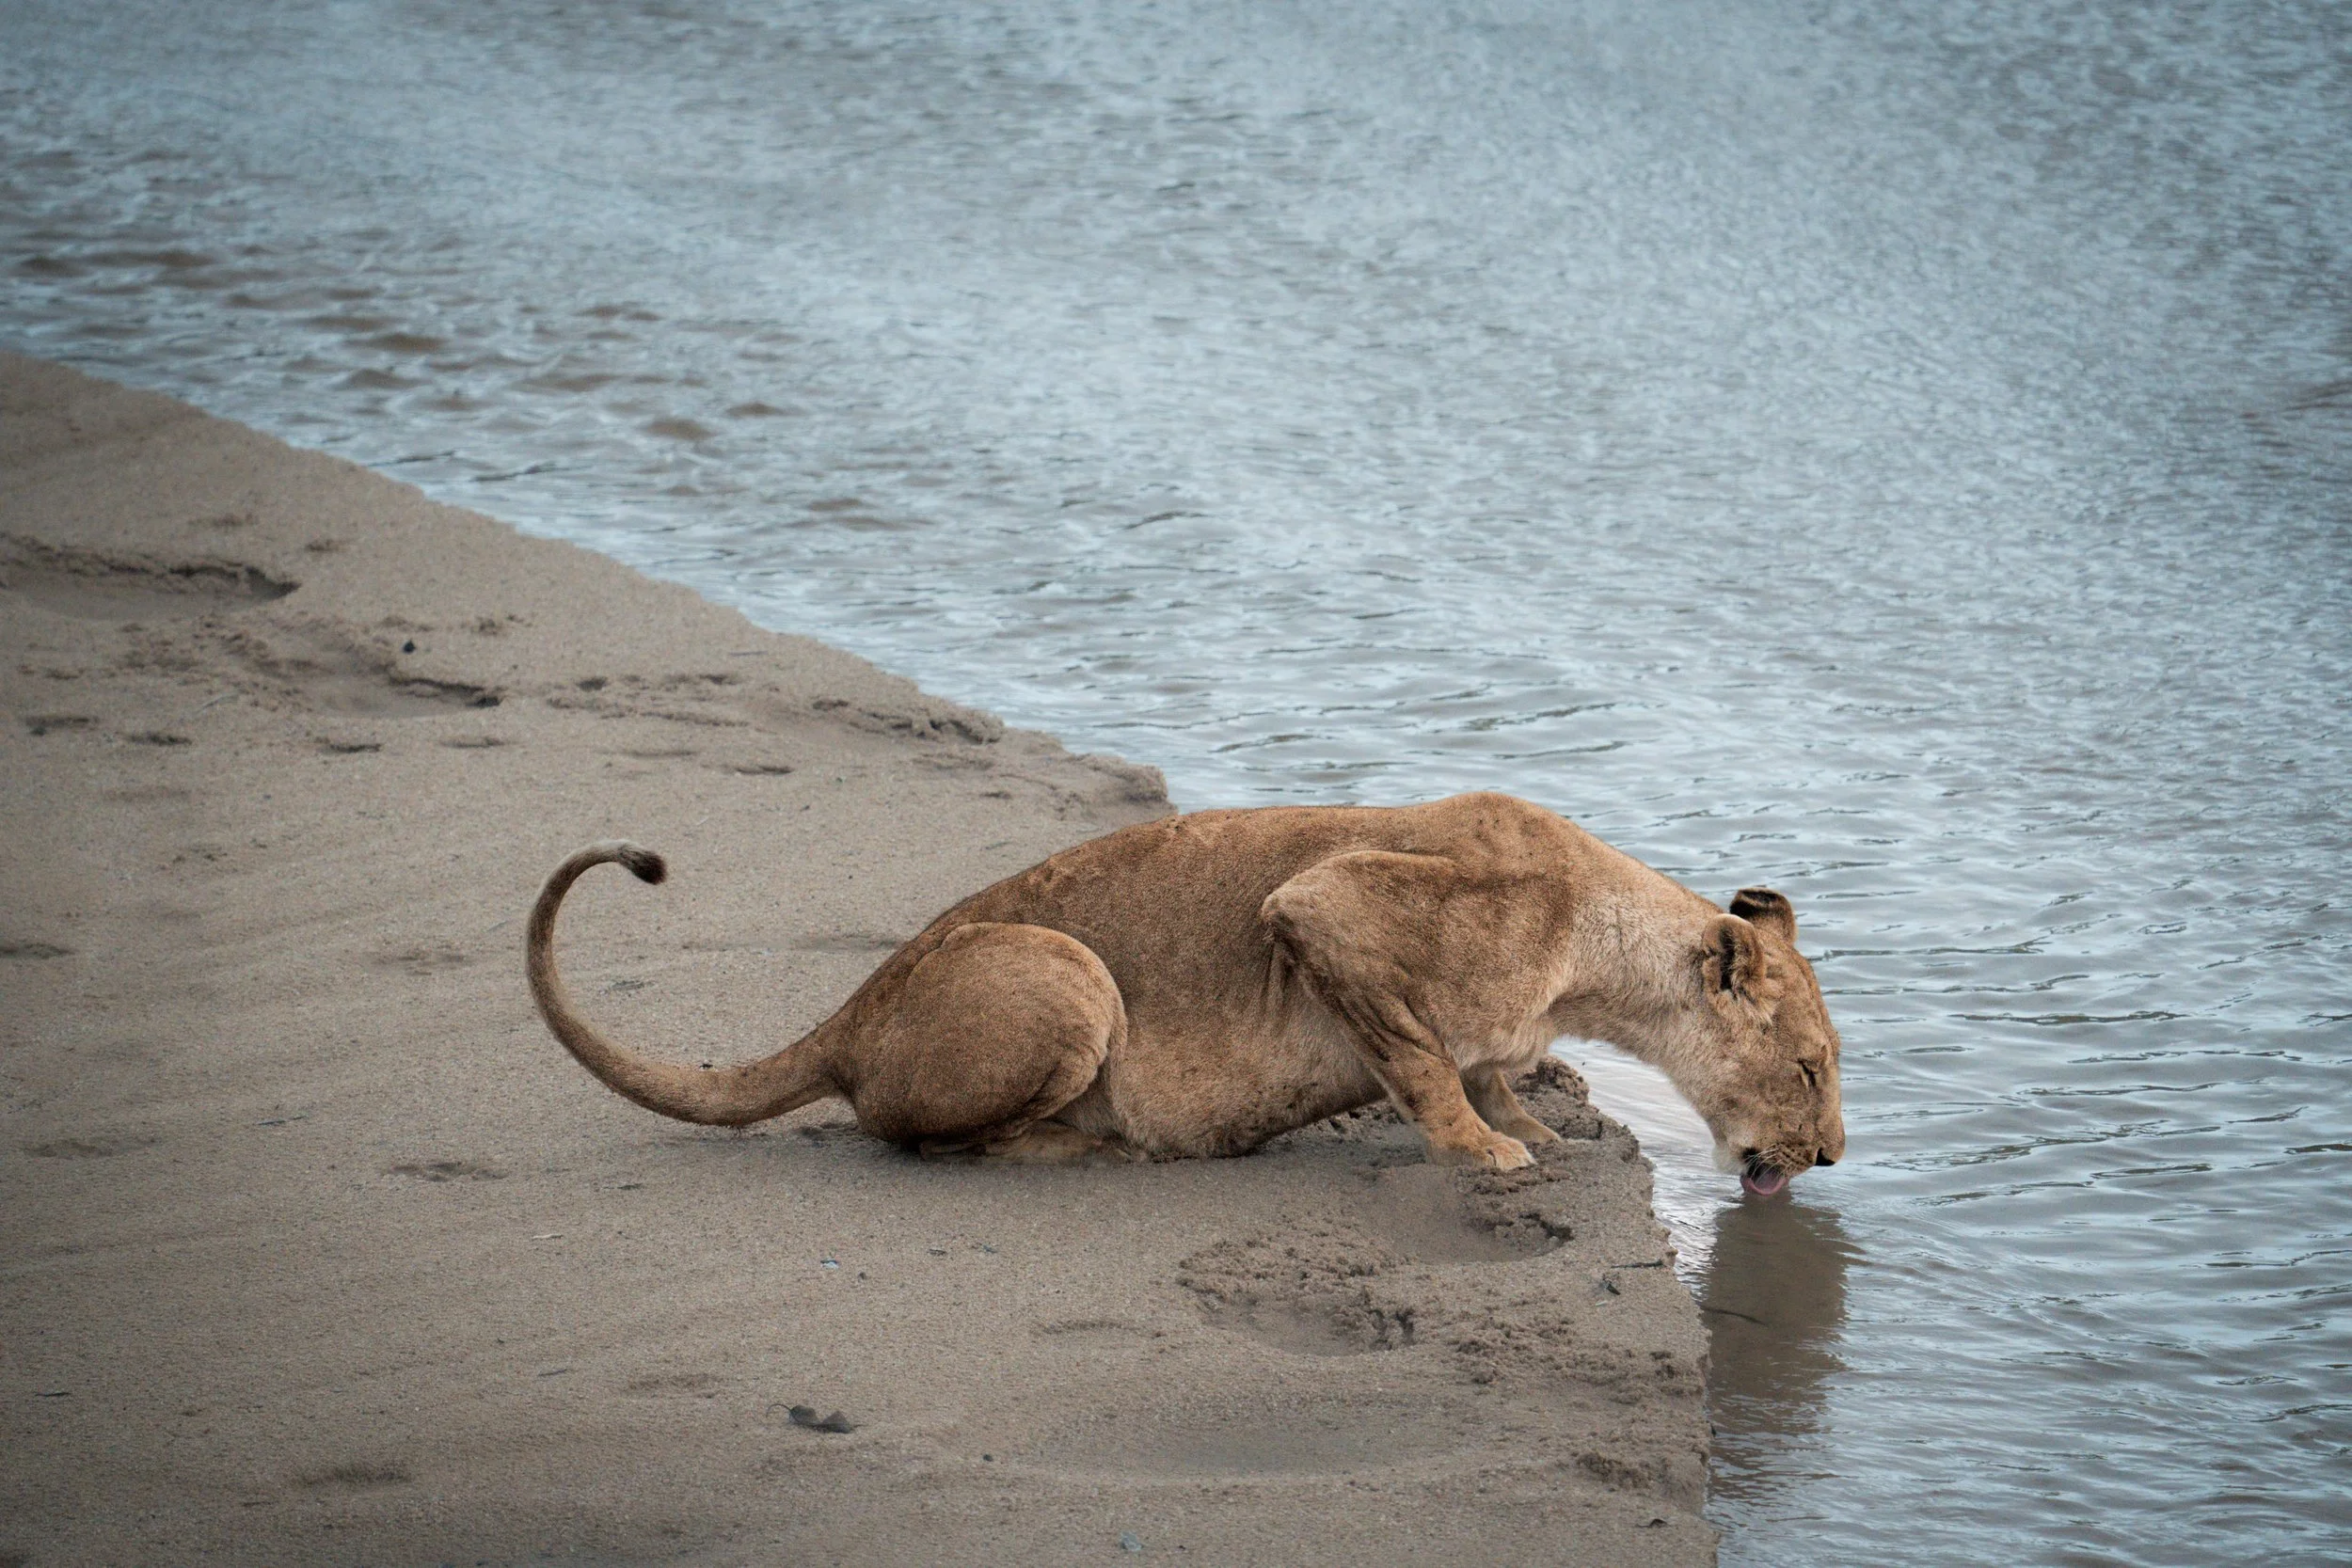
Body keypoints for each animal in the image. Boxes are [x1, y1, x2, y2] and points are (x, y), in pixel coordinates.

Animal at [527, 792, 1844, 1192]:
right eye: (1811, 1068)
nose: (1831, 1157)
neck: (1594, 954)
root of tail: (851, 1010)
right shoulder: (1324, 906)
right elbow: (1423, 1059)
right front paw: (1486, 1151)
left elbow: (1479, 1065)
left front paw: (1533, 1123)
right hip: (1065, 976)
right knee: (921, 1139)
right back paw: (1099, 1146)